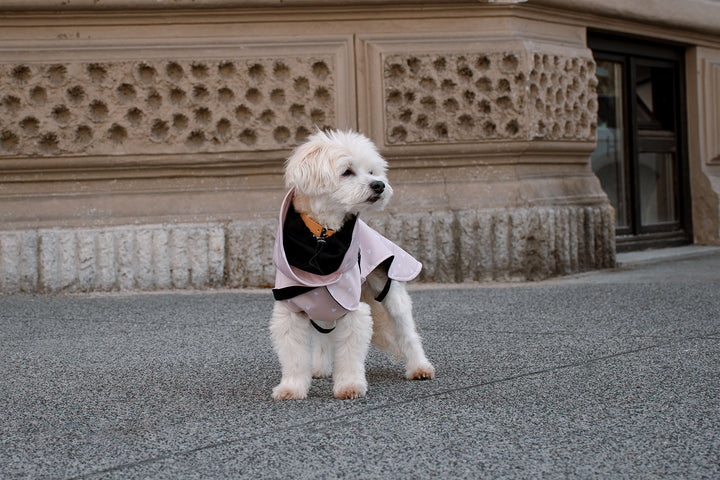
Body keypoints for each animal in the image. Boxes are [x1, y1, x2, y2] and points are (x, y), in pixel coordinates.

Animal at [270, 129, 436, 400]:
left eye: (372, 171)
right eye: (347, 171)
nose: (379, 185)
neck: (322, 236)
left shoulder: (352, 307)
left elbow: (349, 353)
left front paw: (349, 385)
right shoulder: (291, 311)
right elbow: (294, 356)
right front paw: (292, 387)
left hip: (391, 293)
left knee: (407, 332)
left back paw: (420, 367)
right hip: (323, 307)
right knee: (324, 336)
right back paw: (320, 368)